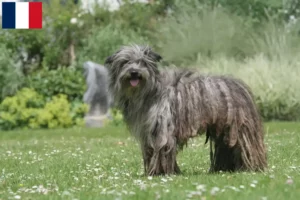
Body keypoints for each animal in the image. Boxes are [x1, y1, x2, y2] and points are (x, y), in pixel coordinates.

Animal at [103, 44, 268, 176]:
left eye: (143, 62)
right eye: (125, 62)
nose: (134, 72)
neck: (149, 91)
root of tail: (241, 86)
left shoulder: (163, 130)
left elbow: (161, 150)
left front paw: (160, 172)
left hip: (241, 129)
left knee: (248, 148)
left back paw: (252, 167)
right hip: (224, 131)